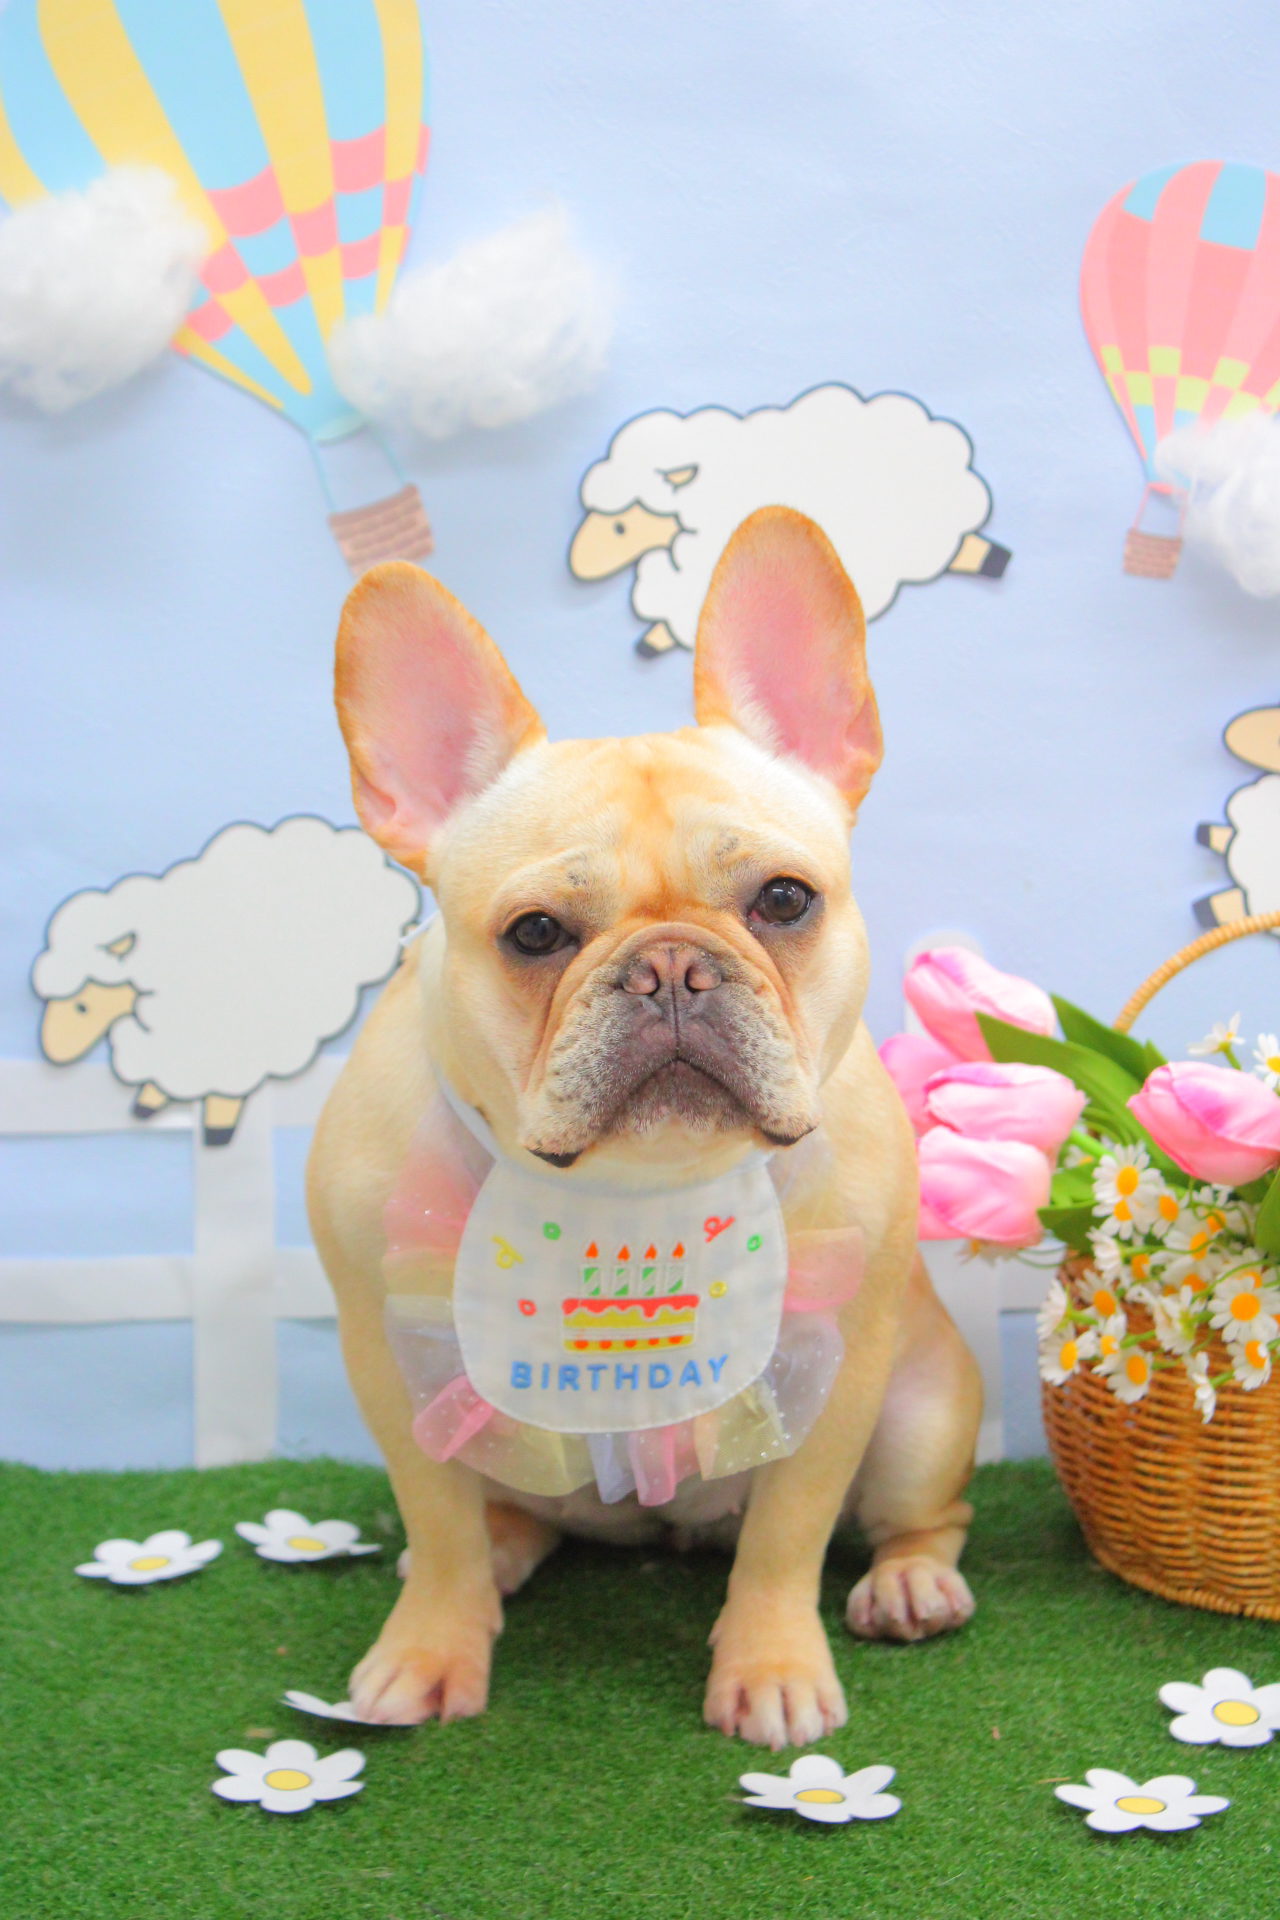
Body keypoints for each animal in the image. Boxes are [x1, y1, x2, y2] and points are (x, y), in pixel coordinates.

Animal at [307, 505, 982, 1749]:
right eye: (533, 933)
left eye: (782, 900)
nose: (671, 965)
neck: (629, 1188)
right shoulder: (387, 1356)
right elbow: (434, 1523)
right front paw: (429, 1649)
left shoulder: (839, 1367)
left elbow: (786, 1536)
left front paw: (769, 1667)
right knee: (496, 1512)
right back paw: (501, 1554)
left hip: (921, 1415)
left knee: (920, 1513)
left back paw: (911, 1582)